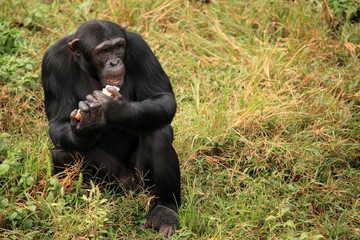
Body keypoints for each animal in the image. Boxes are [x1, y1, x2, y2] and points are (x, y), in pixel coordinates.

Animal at [41, 20, 180, 236]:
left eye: (119, 47)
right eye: (103, 51)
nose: (114, 62)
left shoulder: (141, 48)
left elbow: (162, 97)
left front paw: (114, 107)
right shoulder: (52, 64)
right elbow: (57, 122)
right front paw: (85, 127)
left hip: (143, 181)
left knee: (159, 132)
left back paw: (165, 212)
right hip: (117, 184)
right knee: (63, 152)